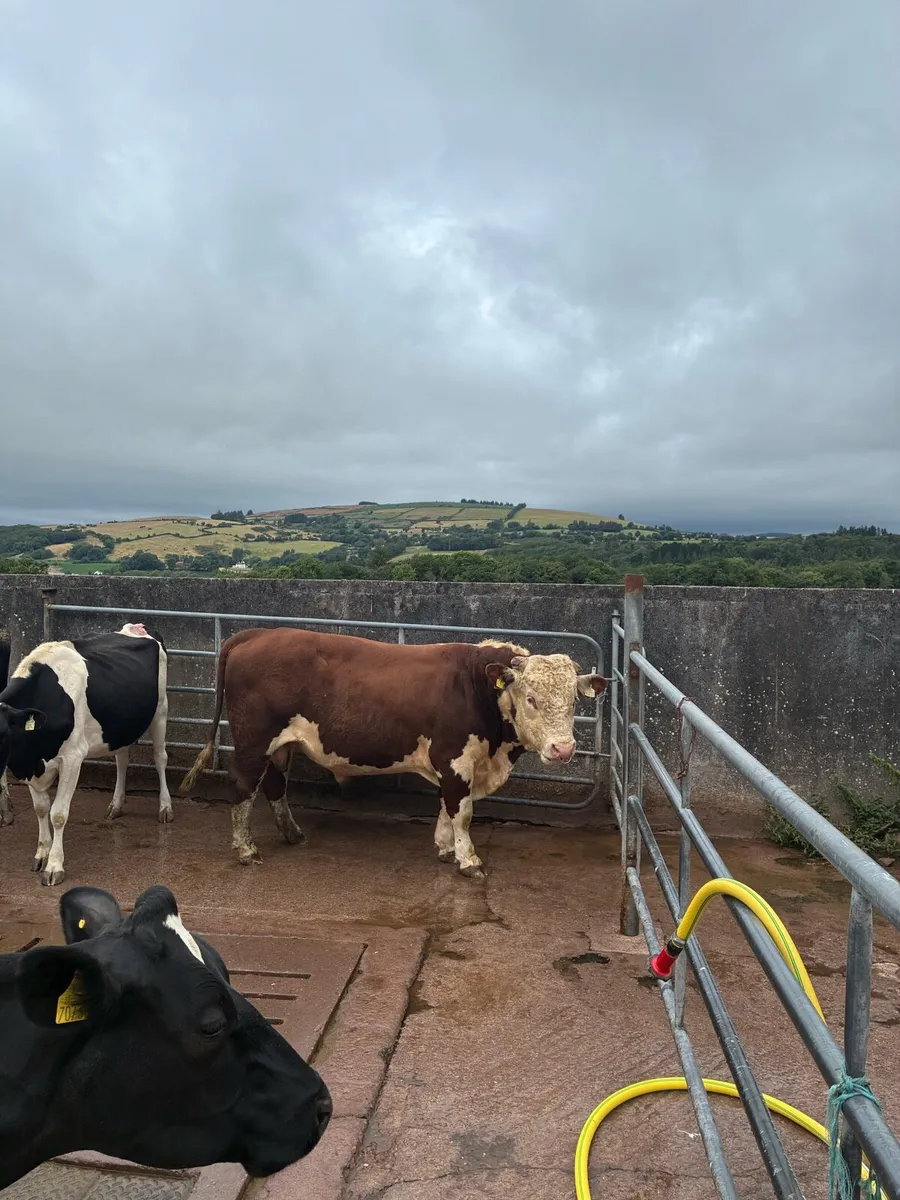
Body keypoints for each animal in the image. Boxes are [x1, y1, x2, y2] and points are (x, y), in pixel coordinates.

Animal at [0, 623, 172, 886]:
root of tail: (138, 627)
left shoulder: (73, 757)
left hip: (160, 709)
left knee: (160, 757)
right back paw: (116, 805)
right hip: (120, 724)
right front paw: (42, 853)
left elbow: (58, 813)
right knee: (122, 759)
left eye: (1, 734)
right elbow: (41, 808)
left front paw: (54, 866)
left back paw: (165, 807)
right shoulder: (30, 765)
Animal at [180, 629, 607, 878]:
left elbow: (447, 806)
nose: (563, 748)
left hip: (280, 744)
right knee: (243, 787)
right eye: (531, 699)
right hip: (254, 741)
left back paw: (291, 833)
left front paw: (445, 847)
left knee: (273, 784)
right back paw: (245, 849)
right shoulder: (454, 759)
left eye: (573, 700)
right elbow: (462, 810)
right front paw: (467, 859)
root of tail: (256, 633)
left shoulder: (454, 765)